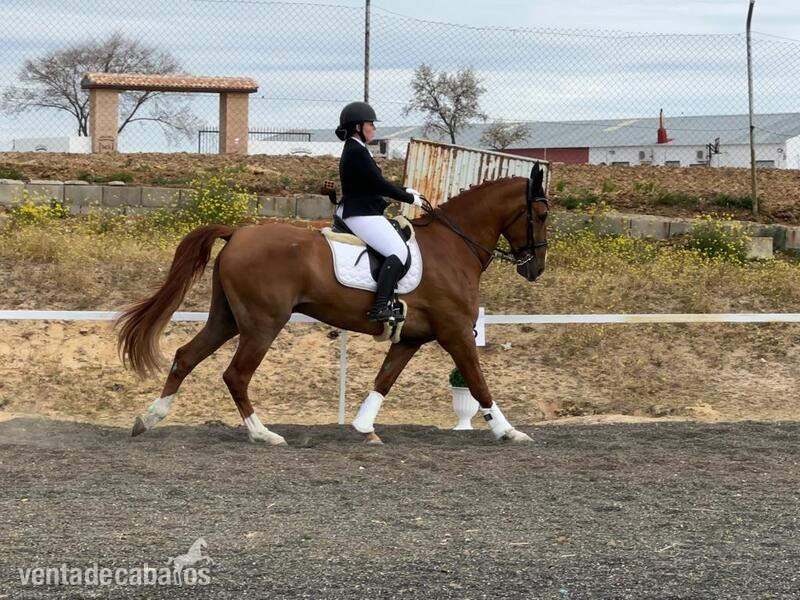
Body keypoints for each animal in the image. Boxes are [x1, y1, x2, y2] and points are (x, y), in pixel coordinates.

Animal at [116, 164, 549, 445]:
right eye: (542, 213)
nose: (536, 268)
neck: (453, 245)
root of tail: (237, 232)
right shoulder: (456, 332)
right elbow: (478, 382)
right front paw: (508, 431)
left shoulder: (410, 339)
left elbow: (383, 380)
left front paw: (364, 428)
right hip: (263, 324)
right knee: (235, 375)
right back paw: (263, 434)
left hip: (228, 319)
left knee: (185, 357)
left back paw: (148, 419)